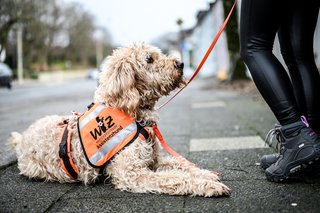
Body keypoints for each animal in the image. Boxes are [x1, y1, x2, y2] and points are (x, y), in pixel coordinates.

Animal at [8, 42, 230, 196]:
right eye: (149, 59)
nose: (181, 63)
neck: (133, 115)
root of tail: (22, 138)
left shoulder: (155, 160)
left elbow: (182, 165)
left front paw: (205, 174)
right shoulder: (132, 173)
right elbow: (173, 177)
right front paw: (208, 185)